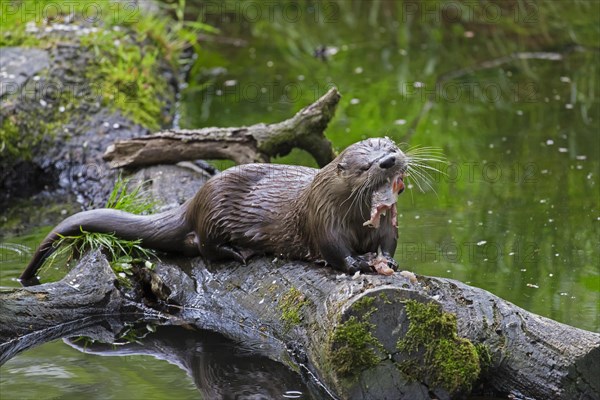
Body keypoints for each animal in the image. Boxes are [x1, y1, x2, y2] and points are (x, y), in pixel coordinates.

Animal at [21, 138, 410, 284]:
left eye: (391, 147)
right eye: (365, 166)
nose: (389, 161)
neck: (354, 219)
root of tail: (194, 201)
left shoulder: (384, 229)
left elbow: (389, 242)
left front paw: (386, 261)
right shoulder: (322, 217)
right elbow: (335, 251)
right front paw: (360, 264)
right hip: (214, 213)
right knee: (204, 247)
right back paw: (238, 252)